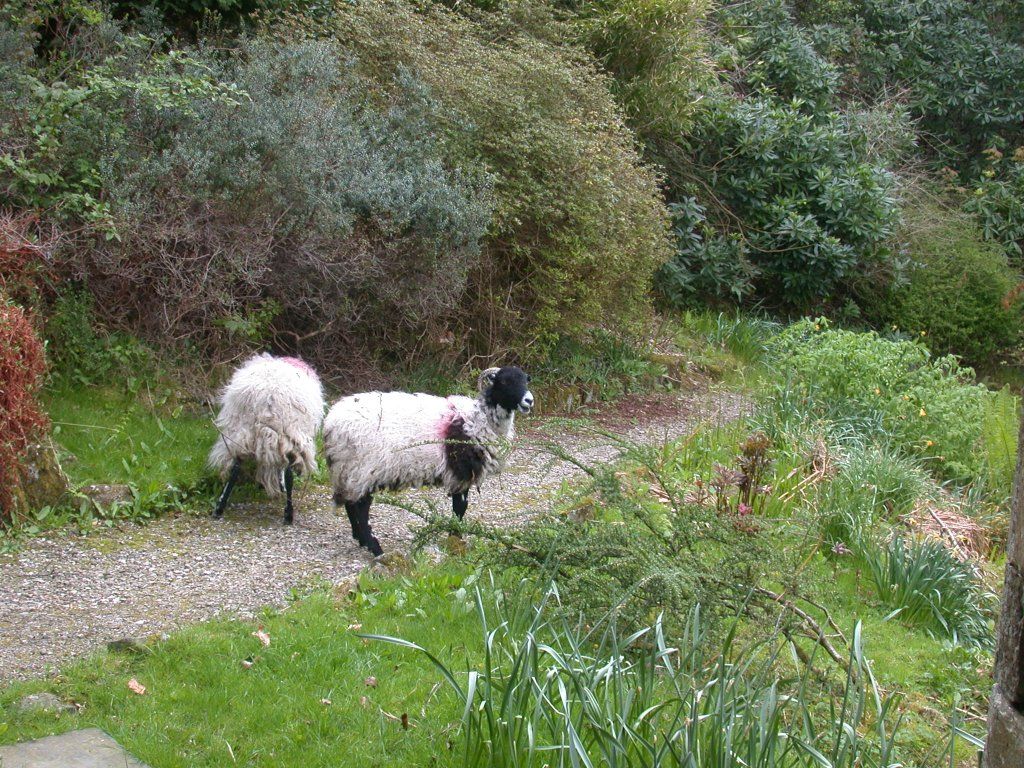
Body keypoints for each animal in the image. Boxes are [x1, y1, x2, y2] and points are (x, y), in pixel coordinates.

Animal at [211, 354, 327, 524]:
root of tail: (269, 395)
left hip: (242, 431)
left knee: (236, 465)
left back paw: (220, 507)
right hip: (288, 433)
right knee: (289, 471)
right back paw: (289, 514)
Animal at [323, 368, 536, 557]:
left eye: (527, 379)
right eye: (505, 381)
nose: (529, 400)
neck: (479, 420)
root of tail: (332, 424)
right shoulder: (461, 472)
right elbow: (460, 508)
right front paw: (455, 538)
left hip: (348, 470)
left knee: (350, 504)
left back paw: (359, 539)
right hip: (363, 469)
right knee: (360, 508)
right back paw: (375, 548)